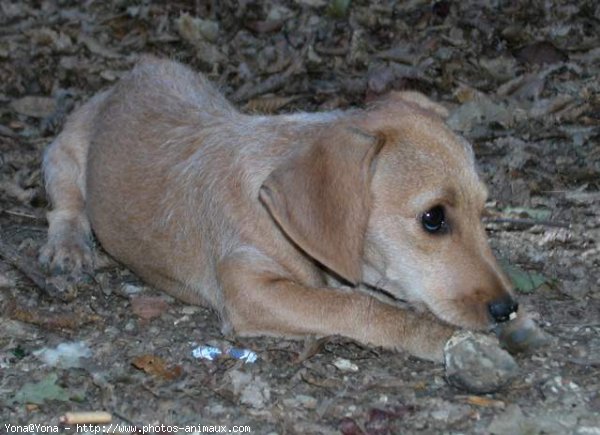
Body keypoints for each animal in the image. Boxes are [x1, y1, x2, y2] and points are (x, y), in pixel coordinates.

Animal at [39, 57, 524, 362]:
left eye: (484, 208)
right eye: (433, 218)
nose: (508, 309)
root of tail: (137, 70)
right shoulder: (251, 290)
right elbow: (356, 307)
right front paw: (437, 336)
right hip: (63, 151)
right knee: (64, 206)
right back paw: (69, 247)